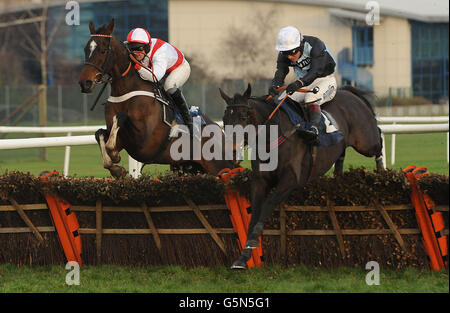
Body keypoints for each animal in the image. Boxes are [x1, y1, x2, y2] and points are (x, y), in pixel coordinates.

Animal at [78, 19, 232, 177]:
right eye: (85, 49)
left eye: (102, 50)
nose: (85, 83)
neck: (125, 92)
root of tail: (221, 132)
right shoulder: (122, 139)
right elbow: (99, 134)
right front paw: (116, 168)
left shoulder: (143, 142)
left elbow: (120, 118)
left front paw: (114, 156)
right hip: (188, 168)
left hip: (219, 166)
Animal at [221, 83, 384, 268]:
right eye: (224, 120)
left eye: (243, 116)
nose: (232, 152)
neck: (273, 137)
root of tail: (349, 92)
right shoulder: (259, 181)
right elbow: (254, 213)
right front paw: (243, 256)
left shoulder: (291, 179)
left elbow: (268, 204)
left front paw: (253, 242)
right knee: (341, 155)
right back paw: (338, 175)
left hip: (365, 142)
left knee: (378, 138)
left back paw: (381, 170)